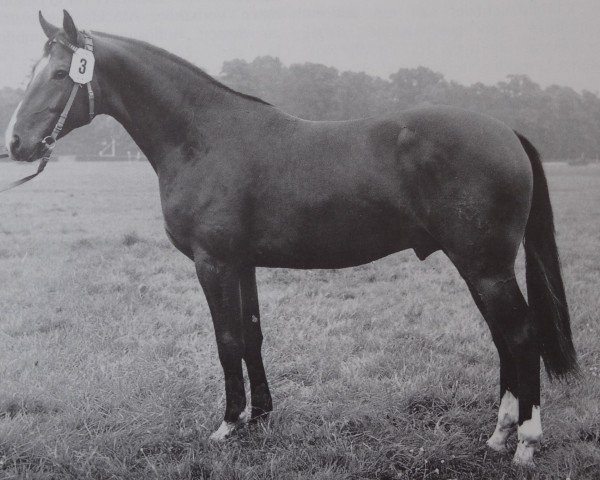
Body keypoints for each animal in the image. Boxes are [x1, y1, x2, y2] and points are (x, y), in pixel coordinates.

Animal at [3, 11, 576, 466]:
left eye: (60, 73)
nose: (16, 144)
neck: (203, 137)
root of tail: (507, 132)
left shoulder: (213, 263)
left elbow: (227, 339)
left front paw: (229, 423)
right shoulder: (242, 263)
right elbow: (252, 335)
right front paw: (260, 416)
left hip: (485, 266)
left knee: (520, 336)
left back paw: (525, 442)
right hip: (481, 267)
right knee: (504, 339)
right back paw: (499, 436)